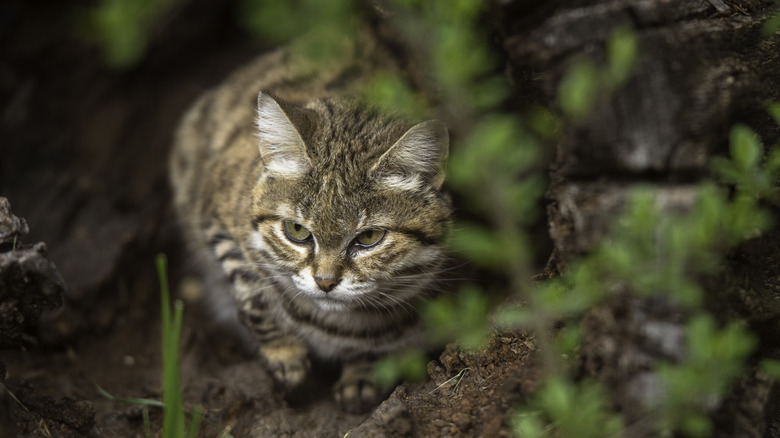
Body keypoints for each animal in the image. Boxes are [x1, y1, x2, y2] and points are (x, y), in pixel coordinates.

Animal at [170, 34, 450, 414]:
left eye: (369, 237)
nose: (325, 282)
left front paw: (360, 375)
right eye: (297, 231)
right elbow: (252, 294)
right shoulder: (214, 213)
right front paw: (286, 358)